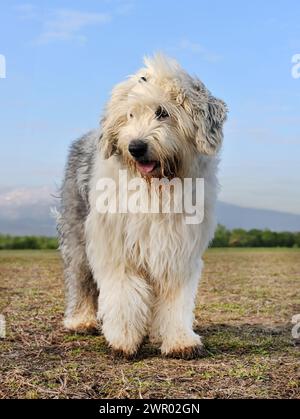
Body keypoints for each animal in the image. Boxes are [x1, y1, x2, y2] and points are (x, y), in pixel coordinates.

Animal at [56, 54, 227, 360]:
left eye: (162, 112)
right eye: (130, 115)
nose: (136, 147)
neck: (155, 188)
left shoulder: (178, 248)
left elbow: (175, 298)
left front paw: (180, 340)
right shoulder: (116, 246)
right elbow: (124, 292)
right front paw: (124, 340)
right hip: (77, 232)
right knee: (81, 278)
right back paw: (81, 320)